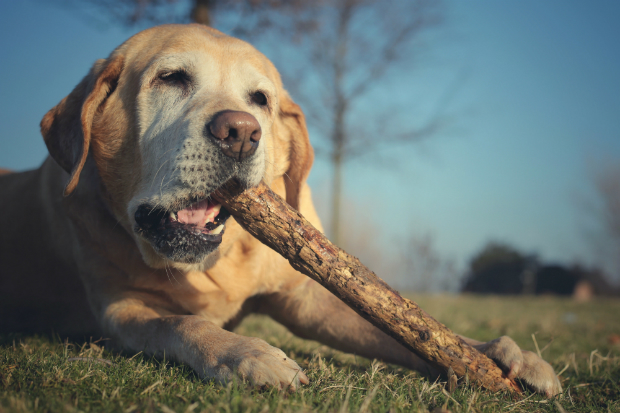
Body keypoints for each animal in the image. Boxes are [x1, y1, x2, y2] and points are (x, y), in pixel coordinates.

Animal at [0, 23, 560, 396]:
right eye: (171, 78)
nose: (240, 132)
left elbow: (401, 328)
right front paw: (247, 354)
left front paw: (496, 355)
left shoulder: (309, 300)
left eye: (261, 100)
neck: (211, 266)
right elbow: (181, 324)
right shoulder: (121, 309)